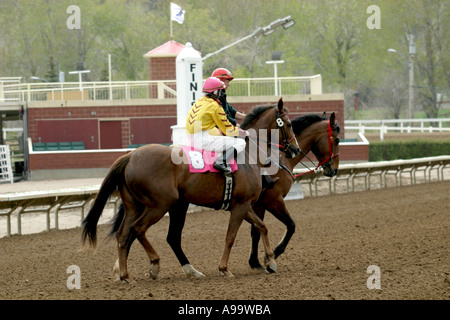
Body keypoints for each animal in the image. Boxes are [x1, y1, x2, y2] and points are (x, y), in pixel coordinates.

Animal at [82, 97, 300, 280]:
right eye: (289, 124)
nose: (295, 149)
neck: (248, 156)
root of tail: (130, 155)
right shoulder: (241, 205)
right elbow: (231, 237)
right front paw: (225, 268)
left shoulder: (244, 206)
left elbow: (262, 227)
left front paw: (270, 261)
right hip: (160, 205)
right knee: (139, 229)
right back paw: (154, 265)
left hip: (138, 206)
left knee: (125, 234)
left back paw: (126, 274)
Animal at [248, 112, 340, 270]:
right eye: (338, 140)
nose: (334, 169)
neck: (280, 159)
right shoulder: (273, 200)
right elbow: (291, 226)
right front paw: (273, 254)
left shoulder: (260, 204)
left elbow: (256, 231)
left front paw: (254, 261)